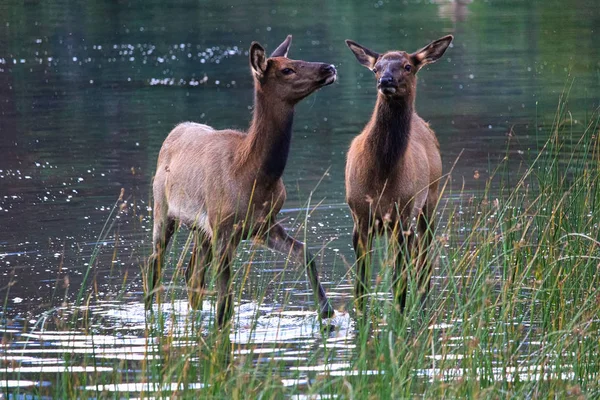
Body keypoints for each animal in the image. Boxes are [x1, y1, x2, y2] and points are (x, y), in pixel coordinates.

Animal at [149, 36, 338, 326]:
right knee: (155, 263)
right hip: (163, 208)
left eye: (293, 59)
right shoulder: (223, 226)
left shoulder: (262, 224)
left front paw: (327, 311)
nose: (329, 67)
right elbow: (225, 303)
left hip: (201, 230)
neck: (253, 176)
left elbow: (305, 252)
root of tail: (174, 131)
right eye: (287, 69)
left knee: (192, 273)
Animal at [344, 36, 452, 310]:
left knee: (423, 261)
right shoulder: (359, 216)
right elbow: (360, 286)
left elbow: (398, 282)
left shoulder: (401, 214)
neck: (380, 178)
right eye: (376, 68)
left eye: (407, 66)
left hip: (430, 199)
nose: (385, 81)